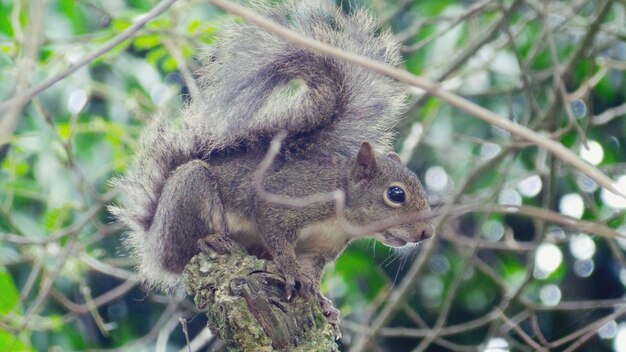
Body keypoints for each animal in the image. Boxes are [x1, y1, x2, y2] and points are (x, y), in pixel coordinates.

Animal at [109, 0, 434, 302]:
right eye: (396, 194)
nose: (426, 234)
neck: (341, 214)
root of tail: (152, 243)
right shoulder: (287, 200)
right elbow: (277, 237)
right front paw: (291, 271)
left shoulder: (320, 248)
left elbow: (312, 271)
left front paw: (323, 303)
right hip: (190, 190)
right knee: (181, 254)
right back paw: (208, 243)